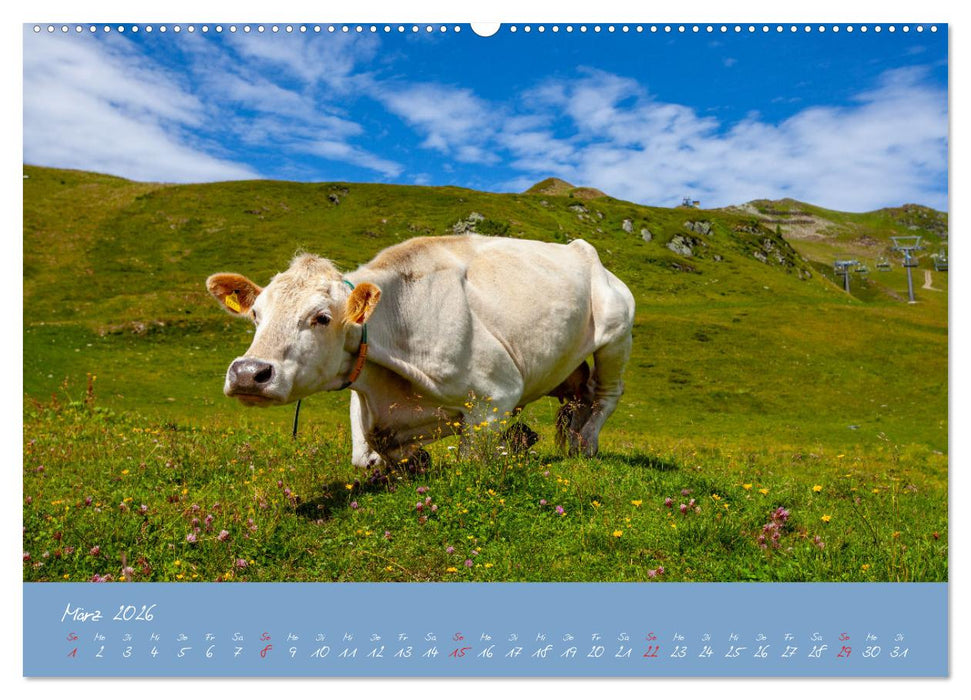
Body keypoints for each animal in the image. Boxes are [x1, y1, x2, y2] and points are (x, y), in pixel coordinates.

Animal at [206, 234, 635, 468]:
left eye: (322, 317)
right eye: (256, 315)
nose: (248, 373)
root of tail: (582, 250)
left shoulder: (497, 393)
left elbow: (471, 460)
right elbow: (365, 456)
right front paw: (414, 460)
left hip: (616, 333)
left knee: (605, 395)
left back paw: (585, 444)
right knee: (580, 398)